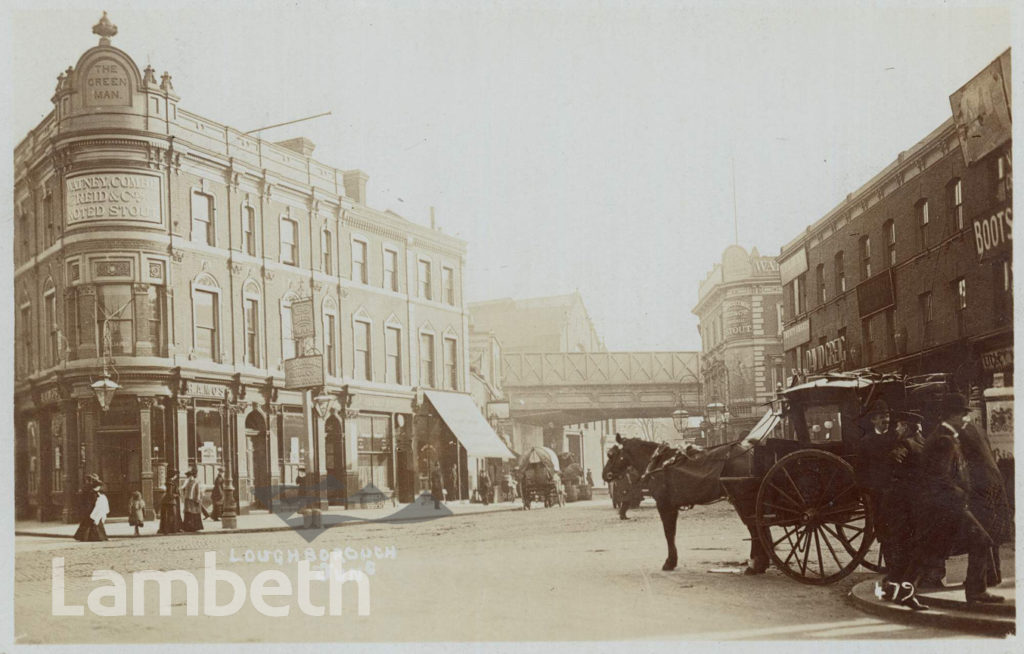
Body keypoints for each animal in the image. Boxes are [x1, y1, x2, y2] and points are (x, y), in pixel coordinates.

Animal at [598, 438, 770, 577]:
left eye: (611, 454)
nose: (605, 474)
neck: (658, 462)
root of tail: (750, 452)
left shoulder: (664, 505)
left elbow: (669, 533)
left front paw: (670, 562)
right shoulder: (672, 507)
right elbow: (671, 533)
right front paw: (672, 560)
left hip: (743, 500)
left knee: (755, 528)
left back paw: (756, 565)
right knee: (760, 527)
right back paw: (761, 563)